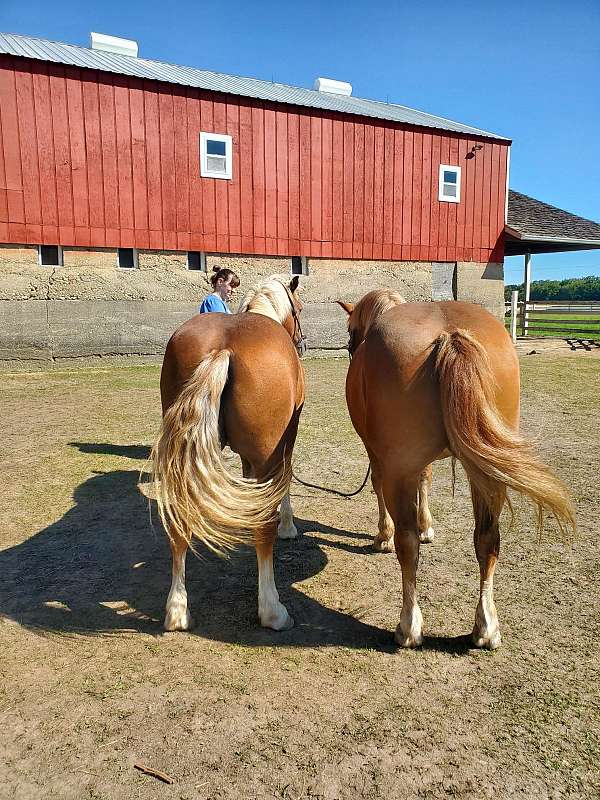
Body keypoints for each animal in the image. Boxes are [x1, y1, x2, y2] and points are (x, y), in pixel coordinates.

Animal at [144, 276, 304, 632]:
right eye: (299, 309)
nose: (301, 343)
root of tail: (222, 349)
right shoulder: (283, 443)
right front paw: (287, 526)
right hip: (266, 454)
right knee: (264, 526)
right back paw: (272, 610)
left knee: (180, 524)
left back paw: (177, 610)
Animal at [340, 292, 576, 648]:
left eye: (351, 332)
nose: (351, 348)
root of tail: (450, 334)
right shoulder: (418, 464)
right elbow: (426, 481)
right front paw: (427, 526)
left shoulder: (381, 457)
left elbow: (379, 488)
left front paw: (384, 535)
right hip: (487, 474)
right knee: (487, 539)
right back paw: (486, 627)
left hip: (403, 471)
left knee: (407, 545)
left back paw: (408, 627)